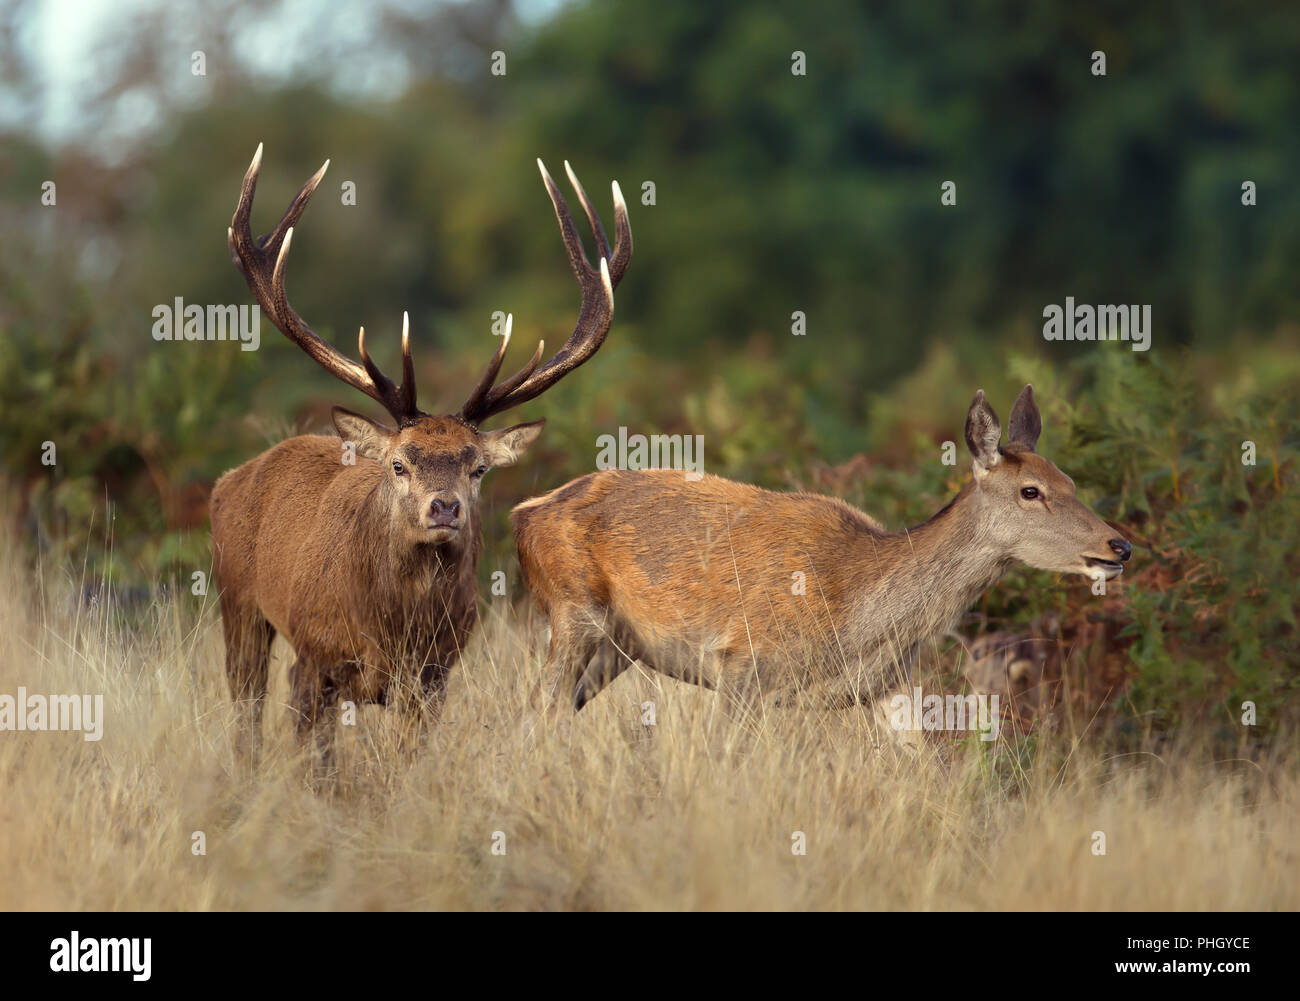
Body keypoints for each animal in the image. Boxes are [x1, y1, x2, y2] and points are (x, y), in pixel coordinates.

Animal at [210, 145, 631, 775]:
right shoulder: (313, 657)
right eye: (398, 464)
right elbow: (318, 764)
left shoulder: (434, 676)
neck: (392, 629)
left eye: (478, 467)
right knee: (245, 710)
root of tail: (227, 480)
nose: (444, 508)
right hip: (237, 601)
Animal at [512, 385, 1131, 729]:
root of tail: (526, 512)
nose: (1118, 545)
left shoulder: (886, 687)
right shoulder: (743, 667)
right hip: (573, 612)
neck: (855, 616)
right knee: (534, 715)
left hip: (616, 648)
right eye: (1031, 491)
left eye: (1072, 480)